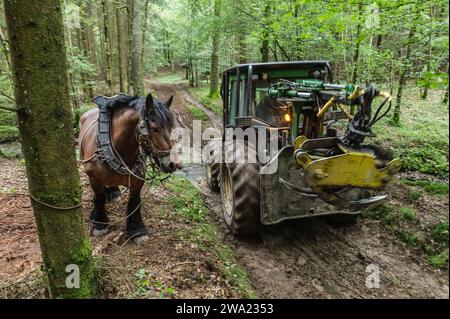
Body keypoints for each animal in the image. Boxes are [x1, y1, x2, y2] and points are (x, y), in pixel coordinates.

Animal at [79, 92, 179, 245]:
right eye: (154, 128)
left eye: (171, 127)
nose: (172, 164)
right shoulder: (94, 178)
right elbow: (99, 198)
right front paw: (99, 223)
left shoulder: (138, 180)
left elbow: (134, 201)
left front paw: (137, 229)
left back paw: (113, 191)